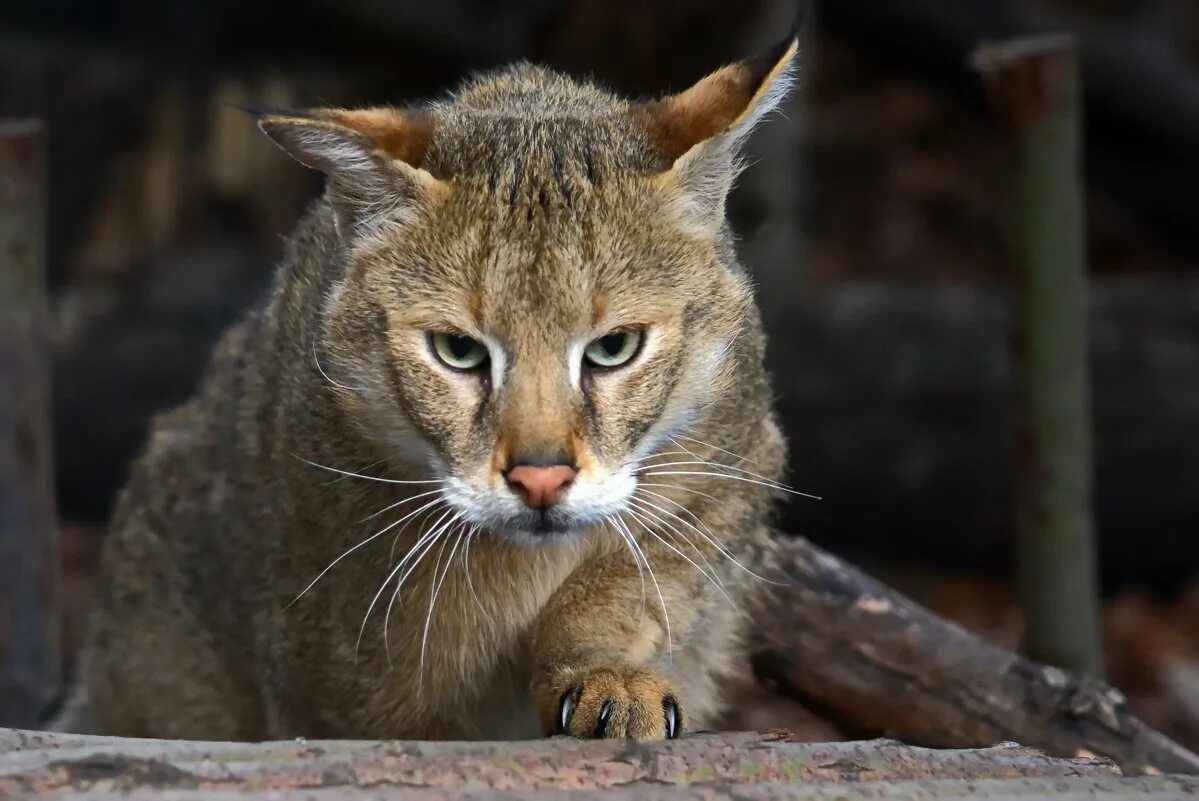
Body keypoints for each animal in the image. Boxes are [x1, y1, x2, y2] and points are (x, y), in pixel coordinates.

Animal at [60, 32, 800, 743]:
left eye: (614, 348)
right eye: (458, 351)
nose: (540, 480)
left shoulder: (734, 463)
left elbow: (632, 581)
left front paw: (605, 674)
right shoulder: (325, 682)